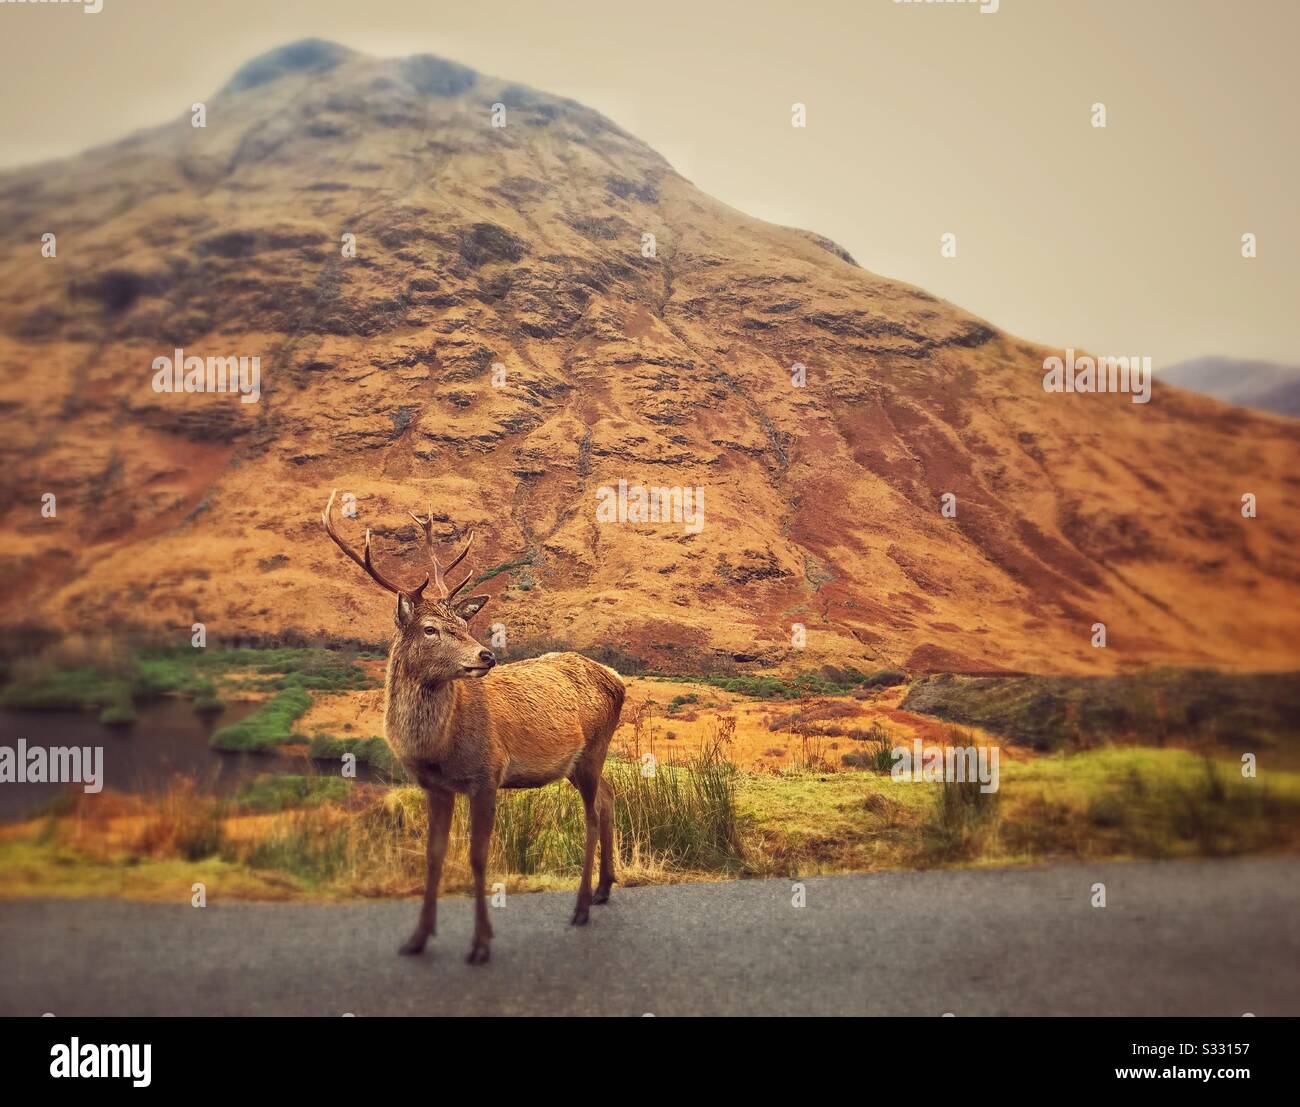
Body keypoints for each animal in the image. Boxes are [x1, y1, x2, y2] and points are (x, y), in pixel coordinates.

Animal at [322, 490, 625, 964]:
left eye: (464, 624)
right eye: (430, 629)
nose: (487, 655)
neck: (439, 747)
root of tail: (618, 679)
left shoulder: (487, 774)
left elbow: (479, 858)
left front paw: (481, 943)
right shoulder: (435, 786)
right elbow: (433, 856)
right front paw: (417, 938)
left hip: (594, 748)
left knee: (592, 815)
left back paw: (580, 908)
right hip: (580, 762)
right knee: (610, 796)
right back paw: (603, 890)